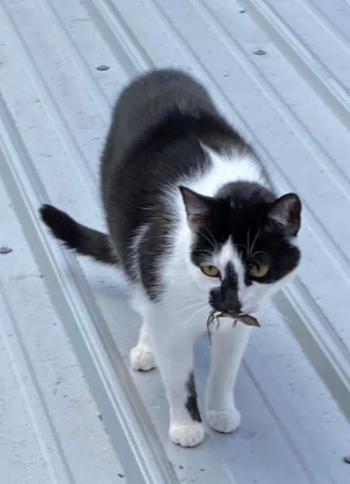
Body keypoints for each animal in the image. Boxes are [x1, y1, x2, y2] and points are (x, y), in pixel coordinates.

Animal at [40, 68, 300, 446]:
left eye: (258, 267)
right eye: (210, 268)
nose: (229, 303)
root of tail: (159, 73)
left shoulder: (241, 321)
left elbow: (226, 370)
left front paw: (221, 410)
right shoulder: (163, 289)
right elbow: (178, 376)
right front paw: (187, 426)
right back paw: (147, 346)